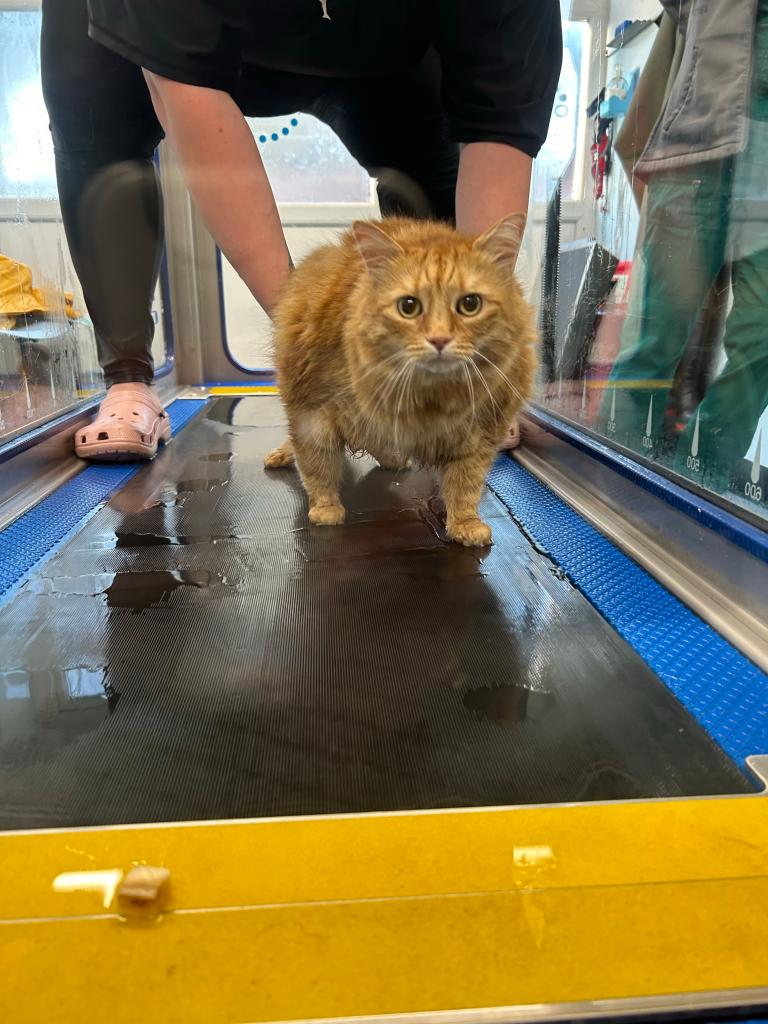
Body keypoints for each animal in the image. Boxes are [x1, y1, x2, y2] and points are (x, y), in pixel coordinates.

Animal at [268, 215, 536, 548]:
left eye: (470, 304)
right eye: (408, 307)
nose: (439, 339)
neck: (430, 397)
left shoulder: (482, 432)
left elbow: (465, 486)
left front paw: (465, 524)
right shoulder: (312, 412)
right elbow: (317, 468)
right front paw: (326, 509)